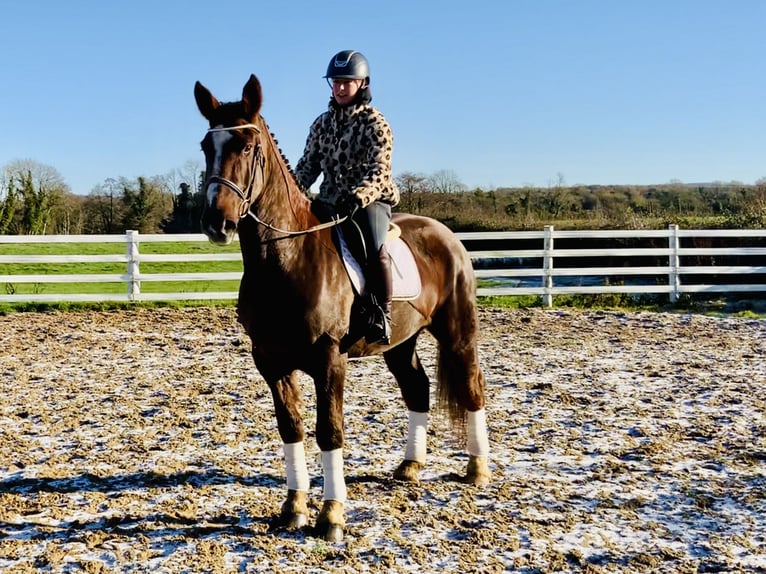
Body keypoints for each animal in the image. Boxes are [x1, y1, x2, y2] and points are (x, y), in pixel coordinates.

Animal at [194, 74, 492, 544]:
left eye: (248, 146)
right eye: (208, 146)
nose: (216, 222)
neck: (288, 258)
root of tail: (447, 235)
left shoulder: (329, 360)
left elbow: (329, 432)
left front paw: (331, 515)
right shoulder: (271, 362)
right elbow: (292, 428)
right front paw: (293, 508)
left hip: (459, 332)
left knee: (472, 386)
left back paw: (477, 470)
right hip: (400, 343)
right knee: (417, 388)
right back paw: (410, 466)